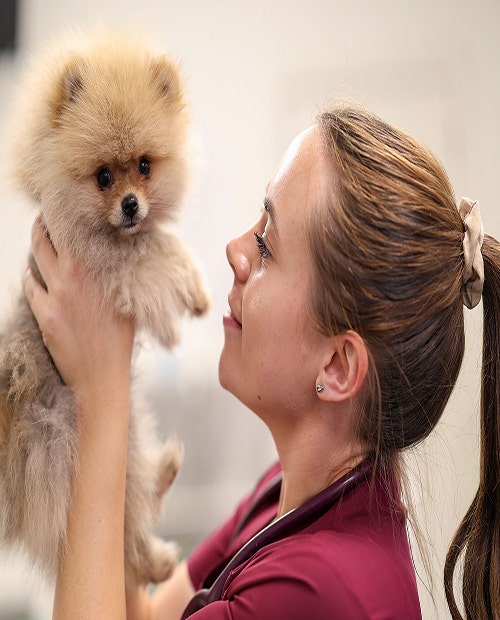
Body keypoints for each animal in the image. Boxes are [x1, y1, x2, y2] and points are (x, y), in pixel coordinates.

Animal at [0, 31, 210, 586]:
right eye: (102, 177)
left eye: (144, 166)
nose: (131, 205)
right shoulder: (109, 264)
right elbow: (157, 249)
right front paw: (191, 289)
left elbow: (161, 242)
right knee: (127, 527)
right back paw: (157, 552)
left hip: (128, 433)